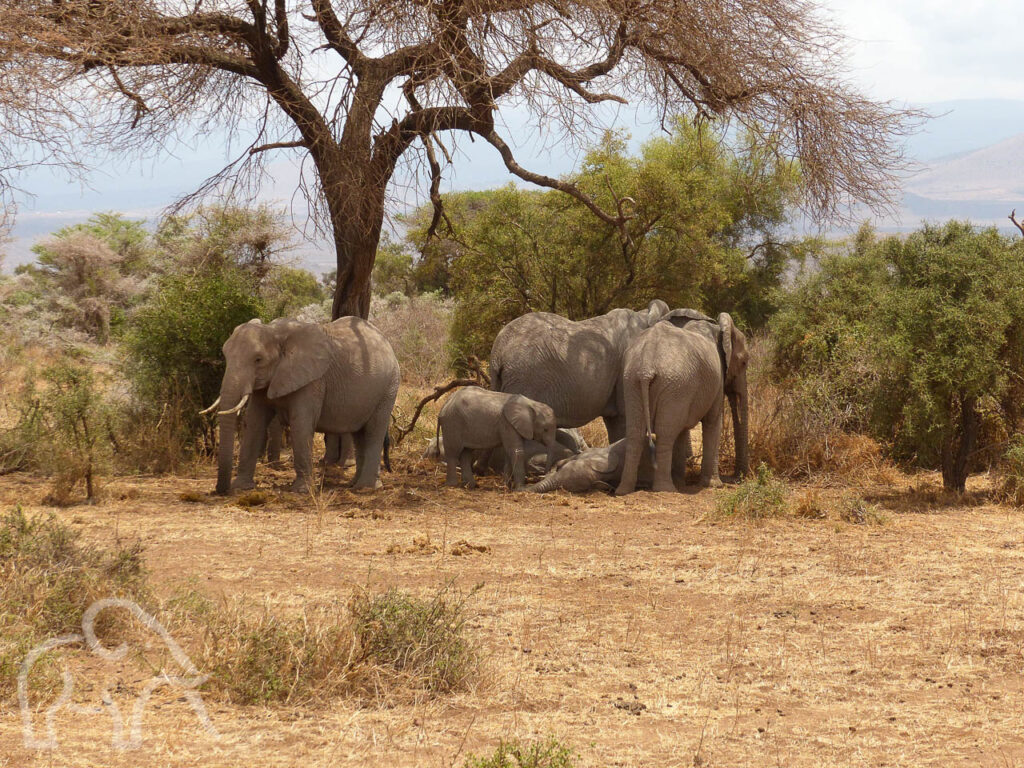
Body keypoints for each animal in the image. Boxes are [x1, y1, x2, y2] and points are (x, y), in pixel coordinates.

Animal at [202, 317, 399, 493]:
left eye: (258, 359)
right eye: (225, 354)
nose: (220, 491)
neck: (275, 331)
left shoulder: (312, 381)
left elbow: (301, 424)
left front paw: (302, 490)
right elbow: (254, 423)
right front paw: (241, 487)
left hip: (389, 386)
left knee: (374, 431)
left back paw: (366, 488)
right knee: (360, 434)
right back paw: (354, 484)